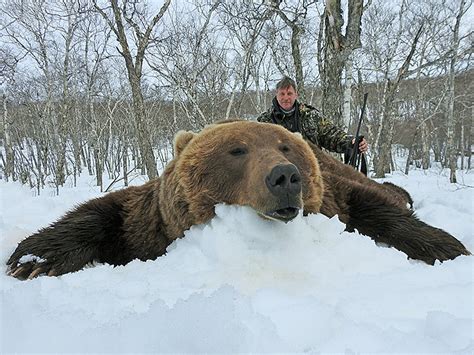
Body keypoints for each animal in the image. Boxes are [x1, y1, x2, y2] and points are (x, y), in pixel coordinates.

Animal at [5, 121, 468, 280]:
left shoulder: (335, 195)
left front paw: (449, 247)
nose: (285, 176)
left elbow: (372, 206)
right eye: (237, 150)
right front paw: (32, 258)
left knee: (387, 192)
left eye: (284, 147)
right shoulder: (153, 220)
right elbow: (105, 213)